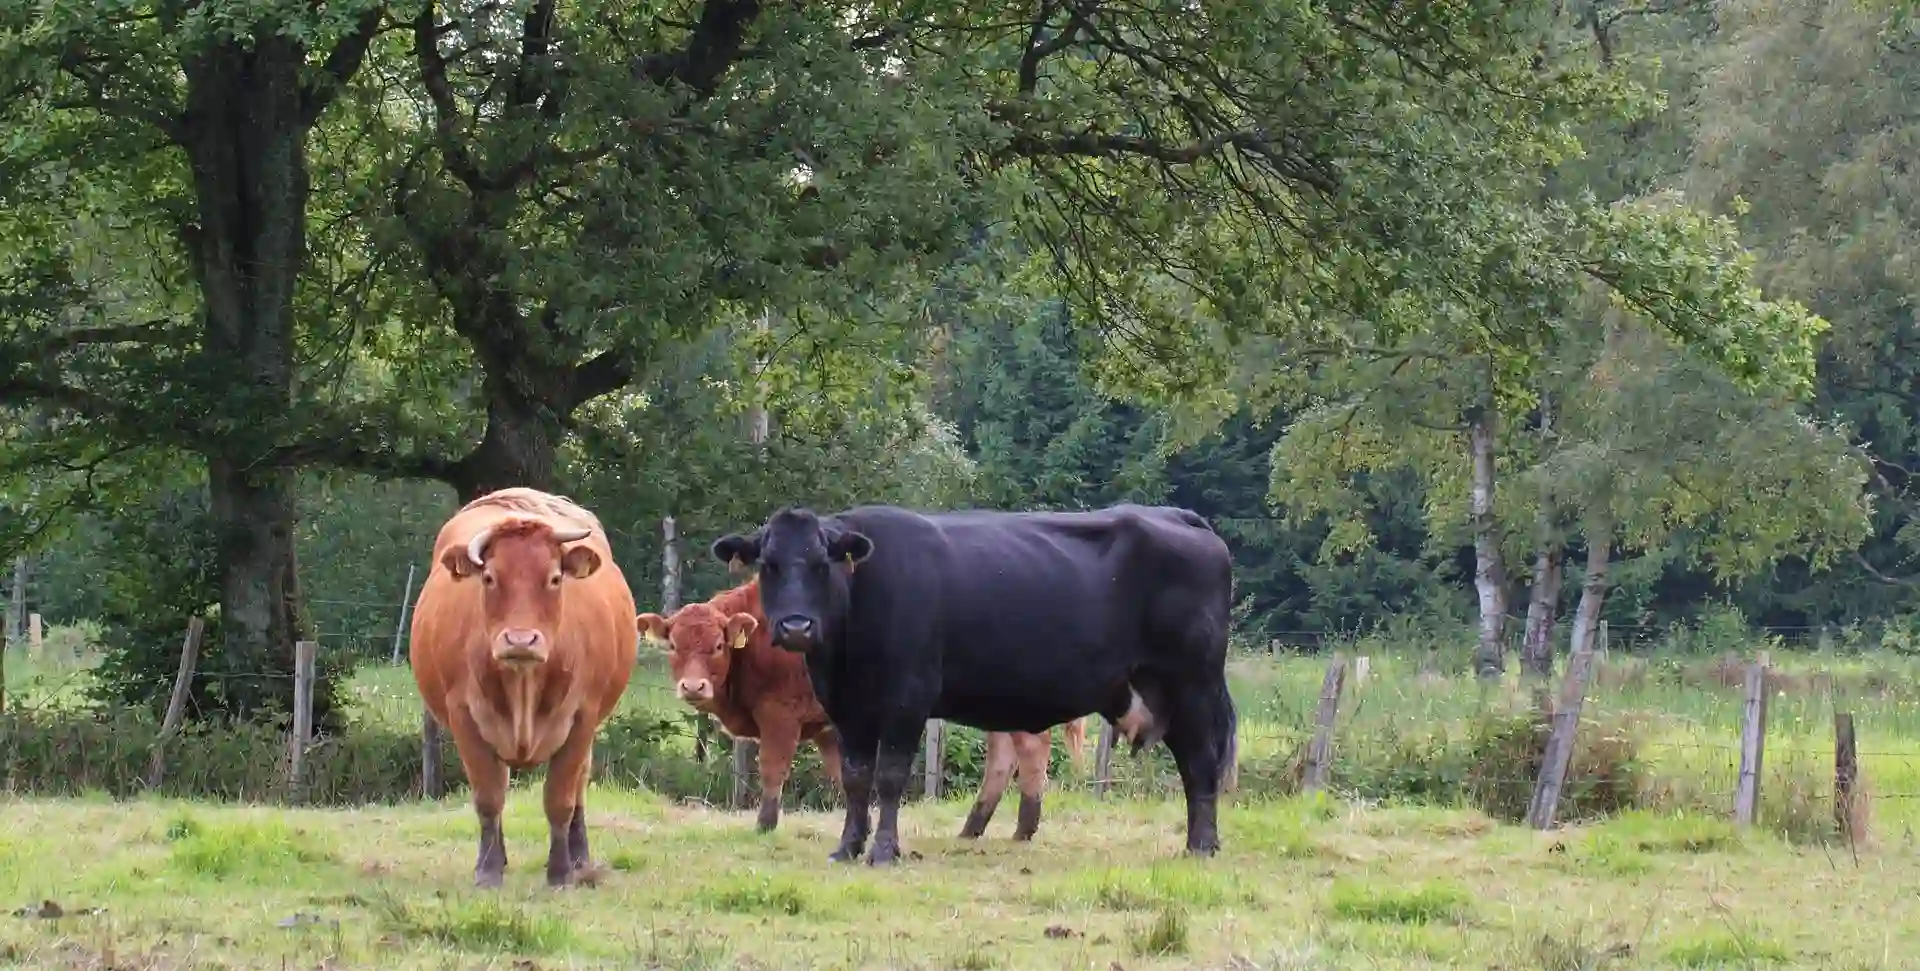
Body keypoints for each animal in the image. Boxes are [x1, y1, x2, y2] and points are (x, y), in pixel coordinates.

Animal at [410, 489, 637, 890]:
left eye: (554, 578)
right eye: (488, 577)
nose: (520, 640)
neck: (523, 684)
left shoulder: (582, 719)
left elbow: (560, 799)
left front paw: (560, 872)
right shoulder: (464, 717)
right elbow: (489, 798)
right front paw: (487, 870)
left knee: (579, 786)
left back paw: (580, 858)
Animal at [714, 502, 1236, 859]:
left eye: (822, 563)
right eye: (769, 564)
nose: (796, 627)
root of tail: (1177, 515)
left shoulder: (908, 699)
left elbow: (890, 777)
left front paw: (884, 850)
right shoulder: (847, 708)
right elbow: (856, 778)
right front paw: (848, 846)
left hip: (1193, 686)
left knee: (1201, 764)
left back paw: (1202, 845)